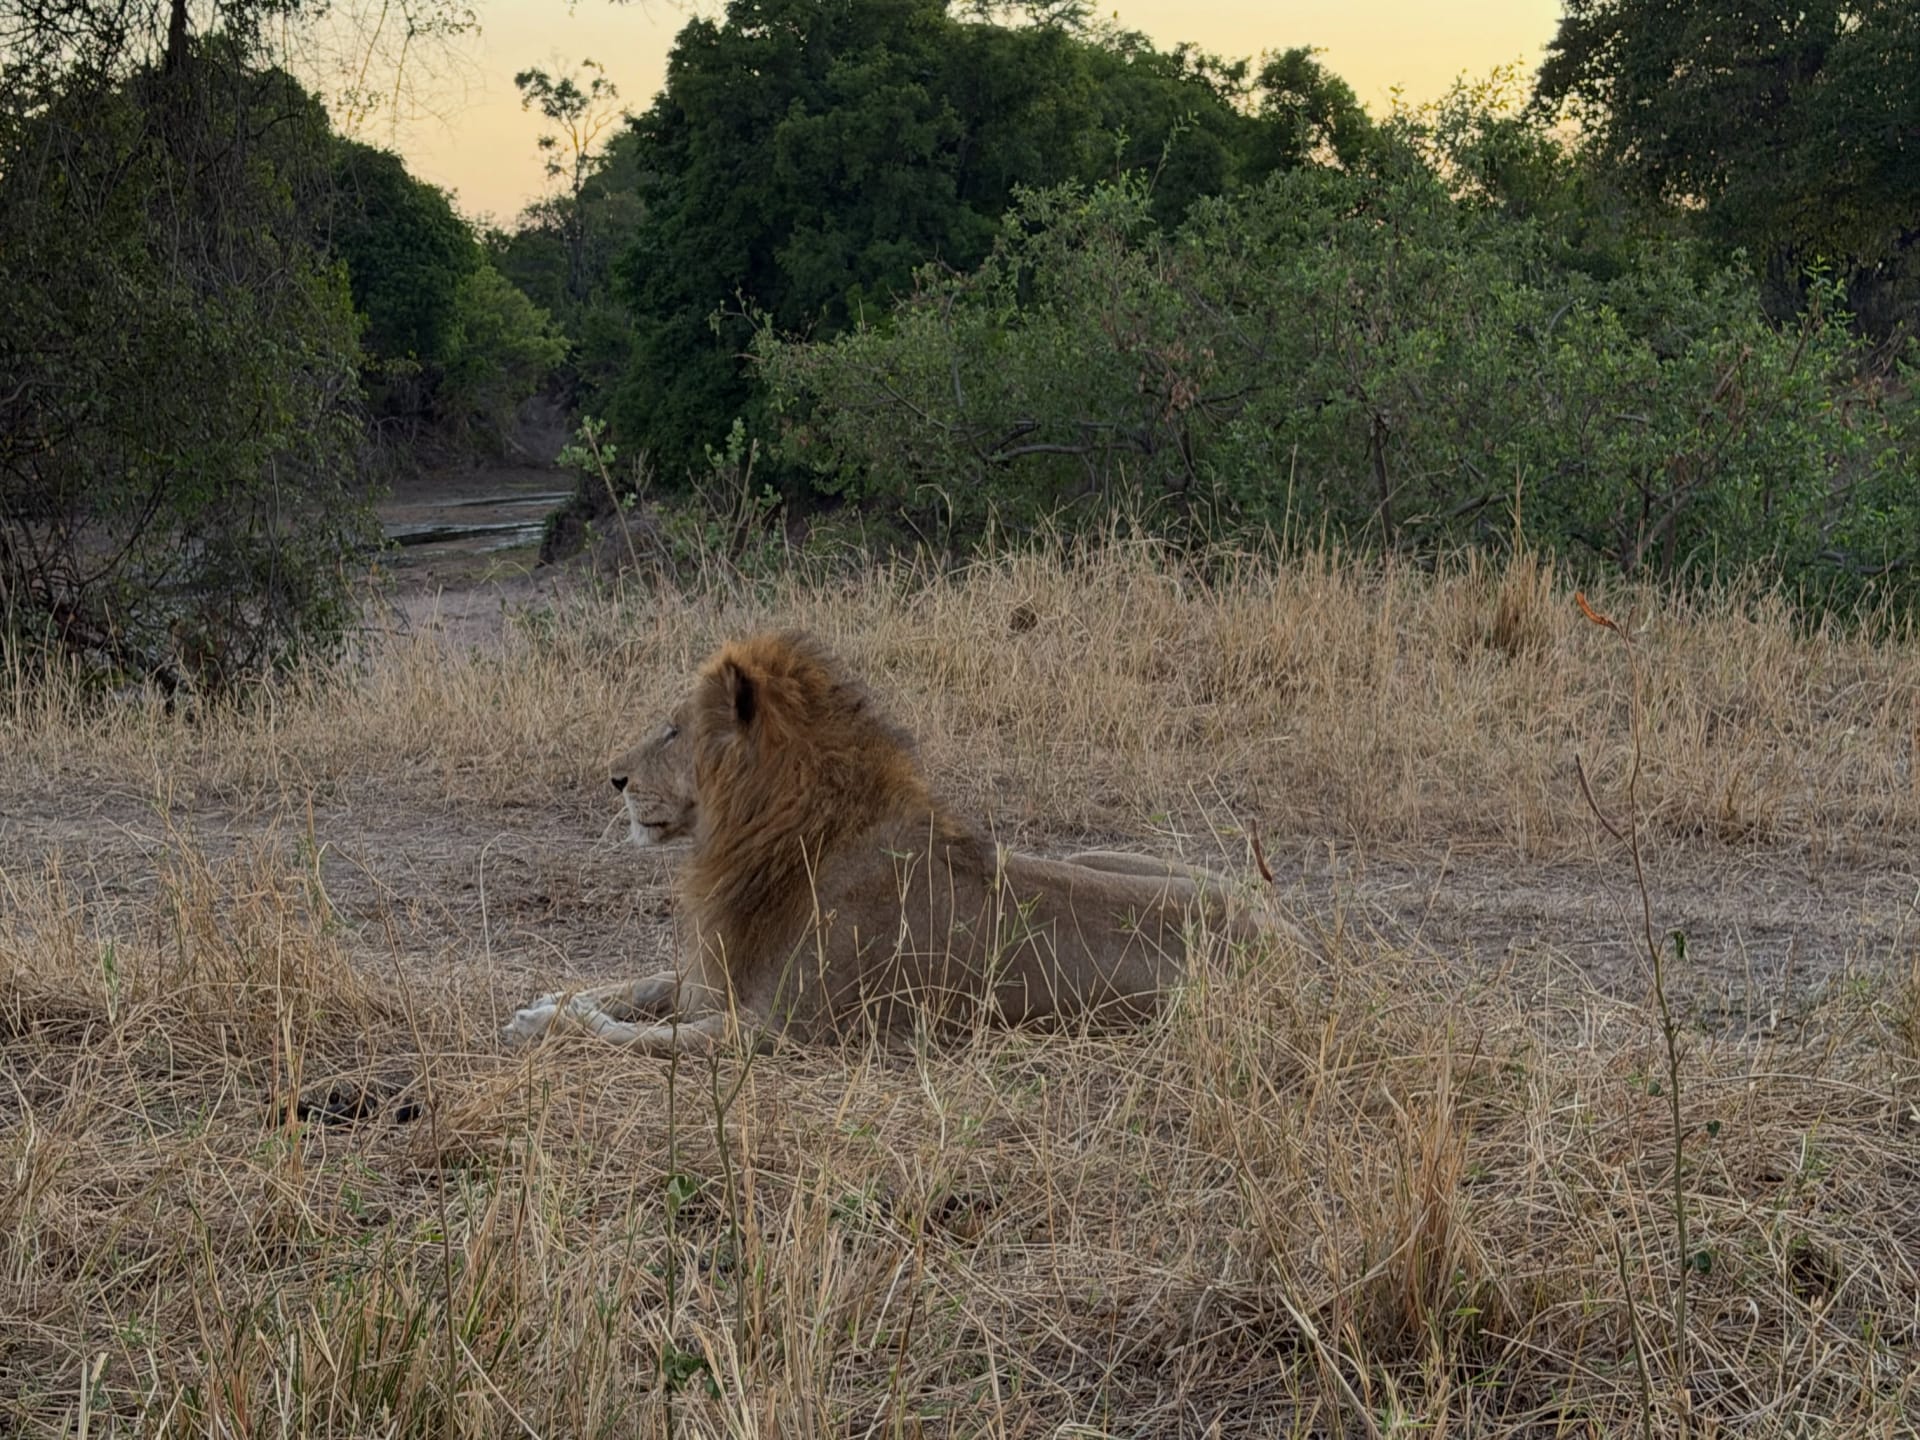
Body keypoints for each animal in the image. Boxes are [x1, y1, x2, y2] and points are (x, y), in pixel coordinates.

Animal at [504, 631, 1275, 1054]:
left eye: (673, 730)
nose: (613, 778)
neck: (774, 833)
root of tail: (1290, 936)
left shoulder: (773, 1030)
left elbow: (624, 1033)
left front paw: (554, 1022)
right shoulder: (714, 981)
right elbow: (637, 984)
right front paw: (544, 1003)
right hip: (1104, 857)